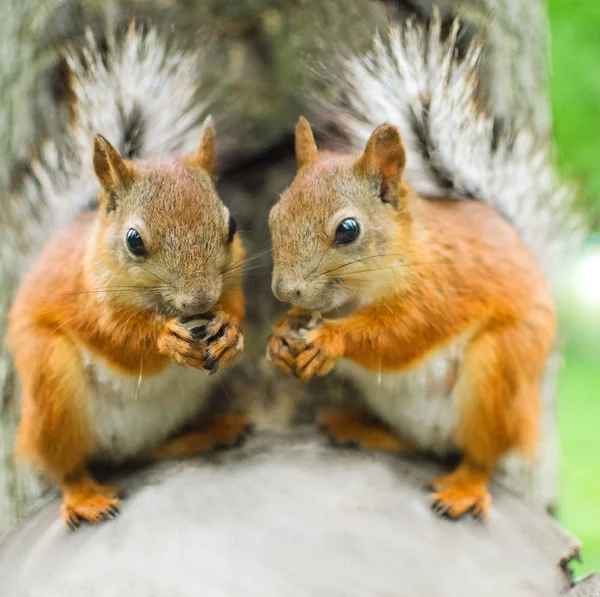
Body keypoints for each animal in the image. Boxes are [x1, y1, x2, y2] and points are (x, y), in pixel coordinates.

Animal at [5, 26, 248, 528]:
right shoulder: (85, 300)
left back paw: (207, 433)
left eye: (231, 224)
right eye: (134, 240)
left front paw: (231, 332)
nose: (200, 302)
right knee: (66, 466)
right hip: (51, 384)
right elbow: (116, 336)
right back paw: (84, 497)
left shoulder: (233, 279)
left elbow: (237, 304)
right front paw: (162, 339)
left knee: (149, 451)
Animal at [268, 16, 580, 520]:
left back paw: (465, 488)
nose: (286, 292)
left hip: (499, 371)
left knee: (481, 454)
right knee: (418, 443)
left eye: (348, 229)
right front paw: (281, 335)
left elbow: (404, 332)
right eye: (275, 215)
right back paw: (361, 427)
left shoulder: (441, 286)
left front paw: (333, 339)